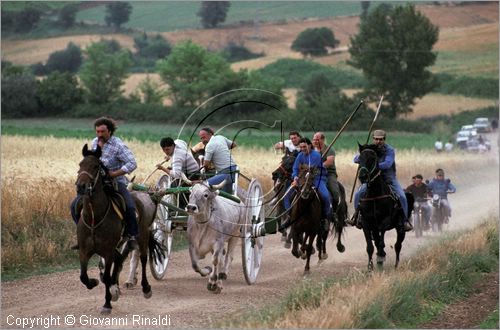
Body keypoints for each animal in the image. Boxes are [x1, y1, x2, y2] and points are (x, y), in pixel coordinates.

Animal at [74, 143, 154, 314]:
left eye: (95, 166)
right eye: (80, 164)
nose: (81, 186)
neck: (94, 218)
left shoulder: (107, 251)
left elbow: (107, 276)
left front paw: (107, 304)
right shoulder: (84, 250)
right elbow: (84, 276)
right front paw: (94, 283)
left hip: (142, 236)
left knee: (143, 258)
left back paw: (146, 288)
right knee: (120, 261)